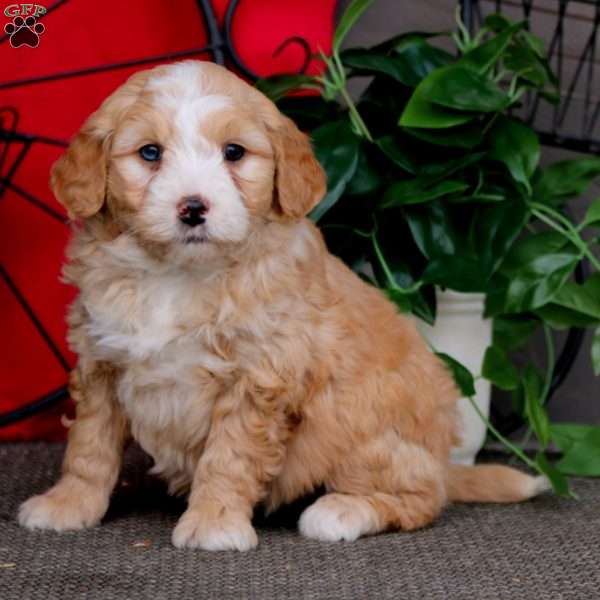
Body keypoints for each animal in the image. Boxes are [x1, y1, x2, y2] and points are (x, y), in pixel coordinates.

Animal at [17, 59, 548, 548]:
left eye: (234, 153)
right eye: (150, 153)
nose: (193, 207)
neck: (179, 274)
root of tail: (441, 459)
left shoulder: (258, 376)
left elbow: (229, 457)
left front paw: (214, 523)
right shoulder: (101, 362)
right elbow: (90, 446)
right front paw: (69, 504)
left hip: (363, 422)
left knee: (421, 498)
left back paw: (341, 512)